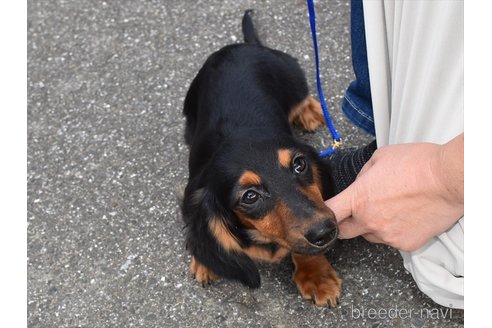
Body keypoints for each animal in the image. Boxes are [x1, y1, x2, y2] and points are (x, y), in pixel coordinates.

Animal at [182, 10, 342, 308]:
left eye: (299, 165)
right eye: (250, 196)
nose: (325, 231)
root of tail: (245, 46)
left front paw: (316, 275)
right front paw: (205, 262)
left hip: (292, 75)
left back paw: (310, 111)